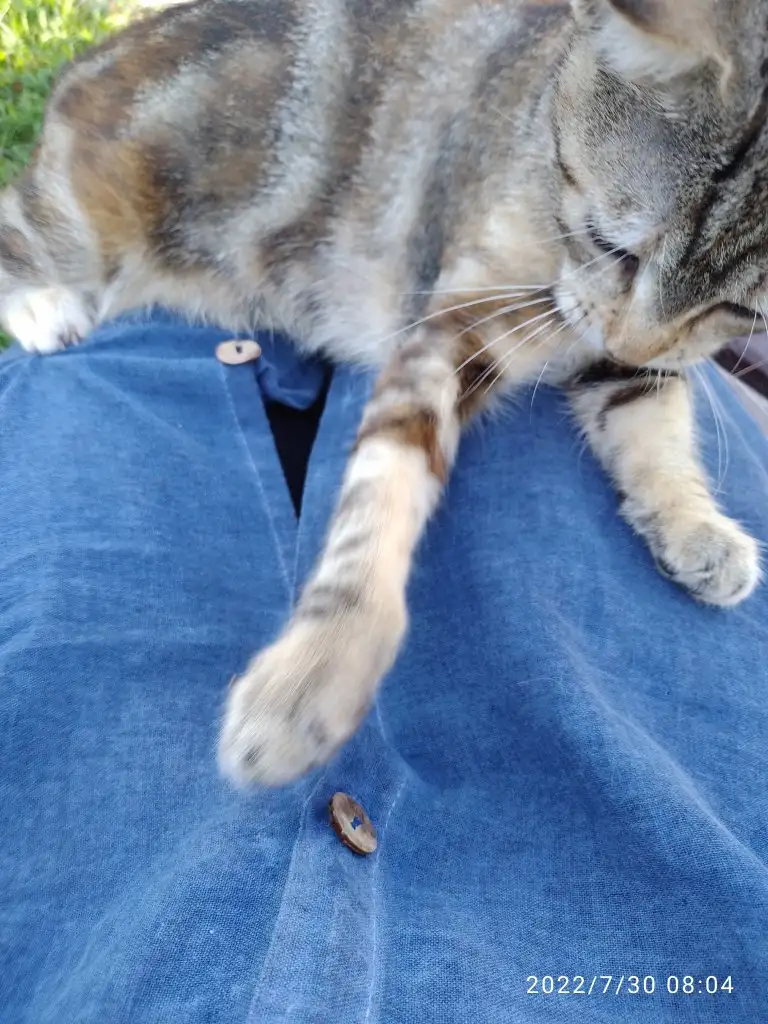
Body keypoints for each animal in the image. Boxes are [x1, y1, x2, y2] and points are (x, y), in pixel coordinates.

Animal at [0, 0, 764, 786]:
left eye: (742, 310)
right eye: (615, 247)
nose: (630, 341)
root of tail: (90, 61)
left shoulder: (631, 361)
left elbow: (657, 431)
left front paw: (698, 528)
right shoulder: (451, 327)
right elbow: (386, 480)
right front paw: (324, 661)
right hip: (85, 215)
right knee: (18, 222)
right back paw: (40, 305)